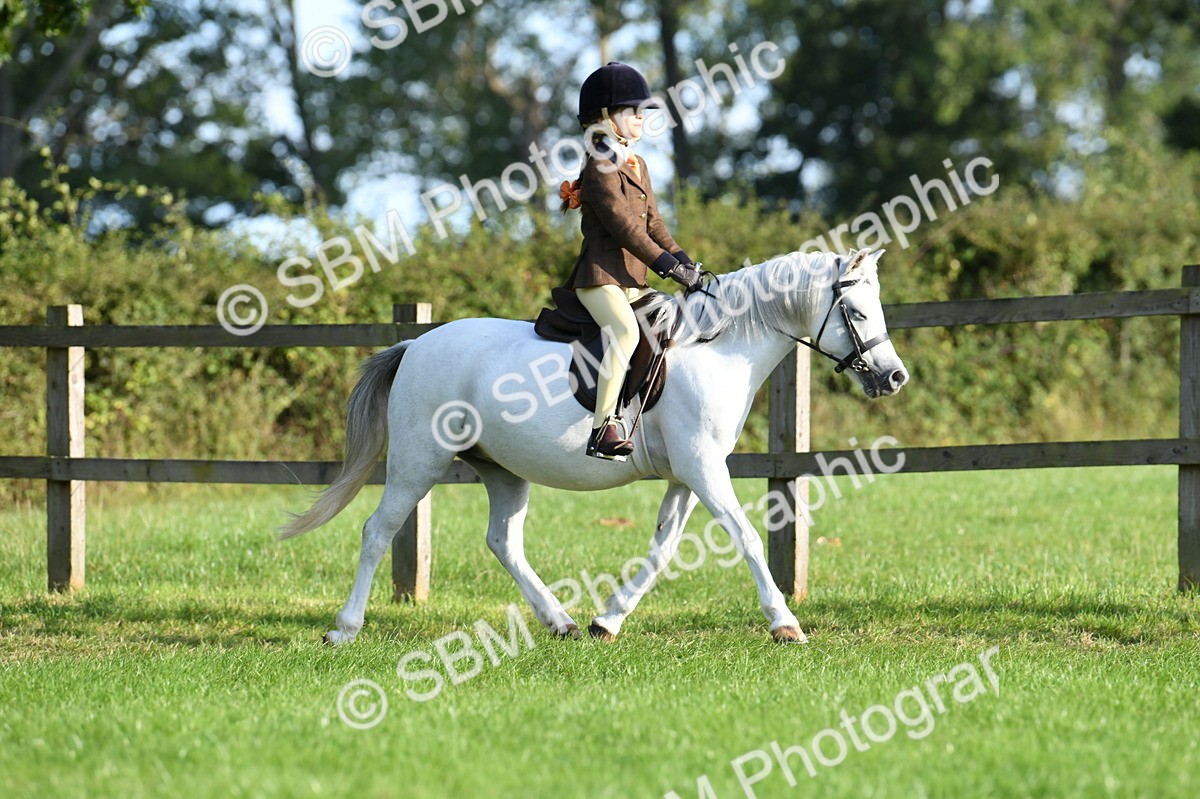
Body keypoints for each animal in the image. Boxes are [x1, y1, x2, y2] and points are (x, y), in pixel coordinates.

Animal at [280, 247, 908, 645]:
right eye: (856, 312)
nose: (895, 377)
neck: (718, 345)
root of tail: (414, 344)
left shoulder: (687, 475)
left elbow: (661, 550)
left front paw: (608, 621)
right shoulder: (705, 469)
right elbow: (749, 538)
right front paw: (785, 624)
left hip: (503, 470)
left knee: (503, 541)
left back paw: (560, 622)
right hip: (418, 462)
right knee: (378, 531)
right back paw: (344, 629)